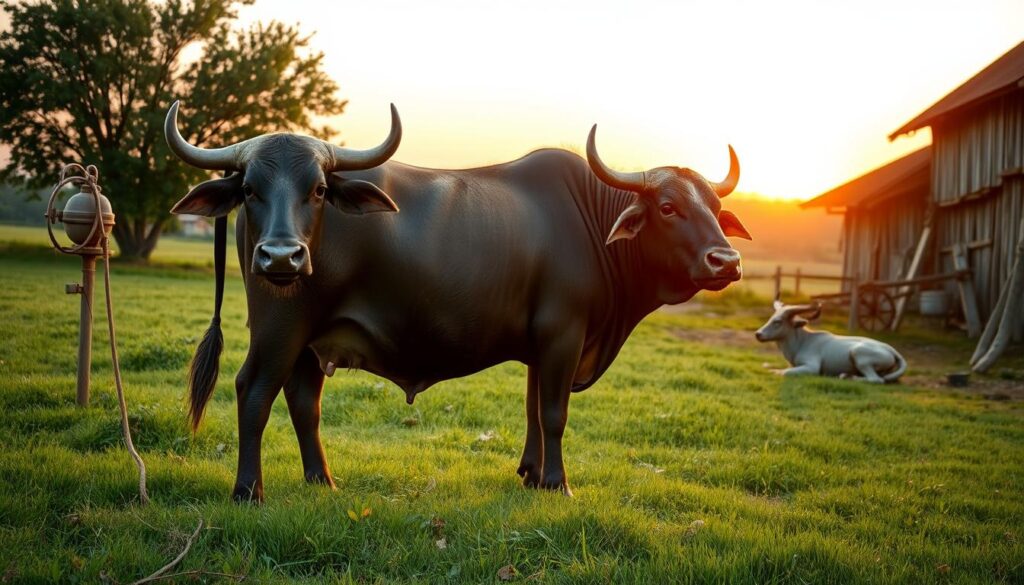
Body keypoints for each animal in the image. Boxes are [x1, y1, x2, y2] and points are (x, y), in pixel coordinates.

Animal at [163, 99, 749, 499]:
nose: (726, 261)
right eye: (669, 206)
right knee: (254, 391)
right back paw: (249, 490)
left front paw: (530, 474)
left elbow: (533, 408)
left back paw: (322, 481)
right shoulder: (563, 335)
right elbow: (555, 412)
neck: (589, 219)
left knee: (304, 400)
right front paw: (557, 483)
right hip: (279, 327)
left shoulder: (542, 344)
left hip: (309, 338)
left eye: (716, 207)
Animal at [753, 299, 905, 383]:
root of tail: (892, 351)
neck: (803, 341)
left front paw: (774, 372)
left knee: (876, 379)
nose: (758, 334)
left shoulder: (811, 367)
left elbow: (784, 372)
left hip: (858, 353)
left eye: (778, 322)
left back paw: (848, 377)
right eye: (771, 318)